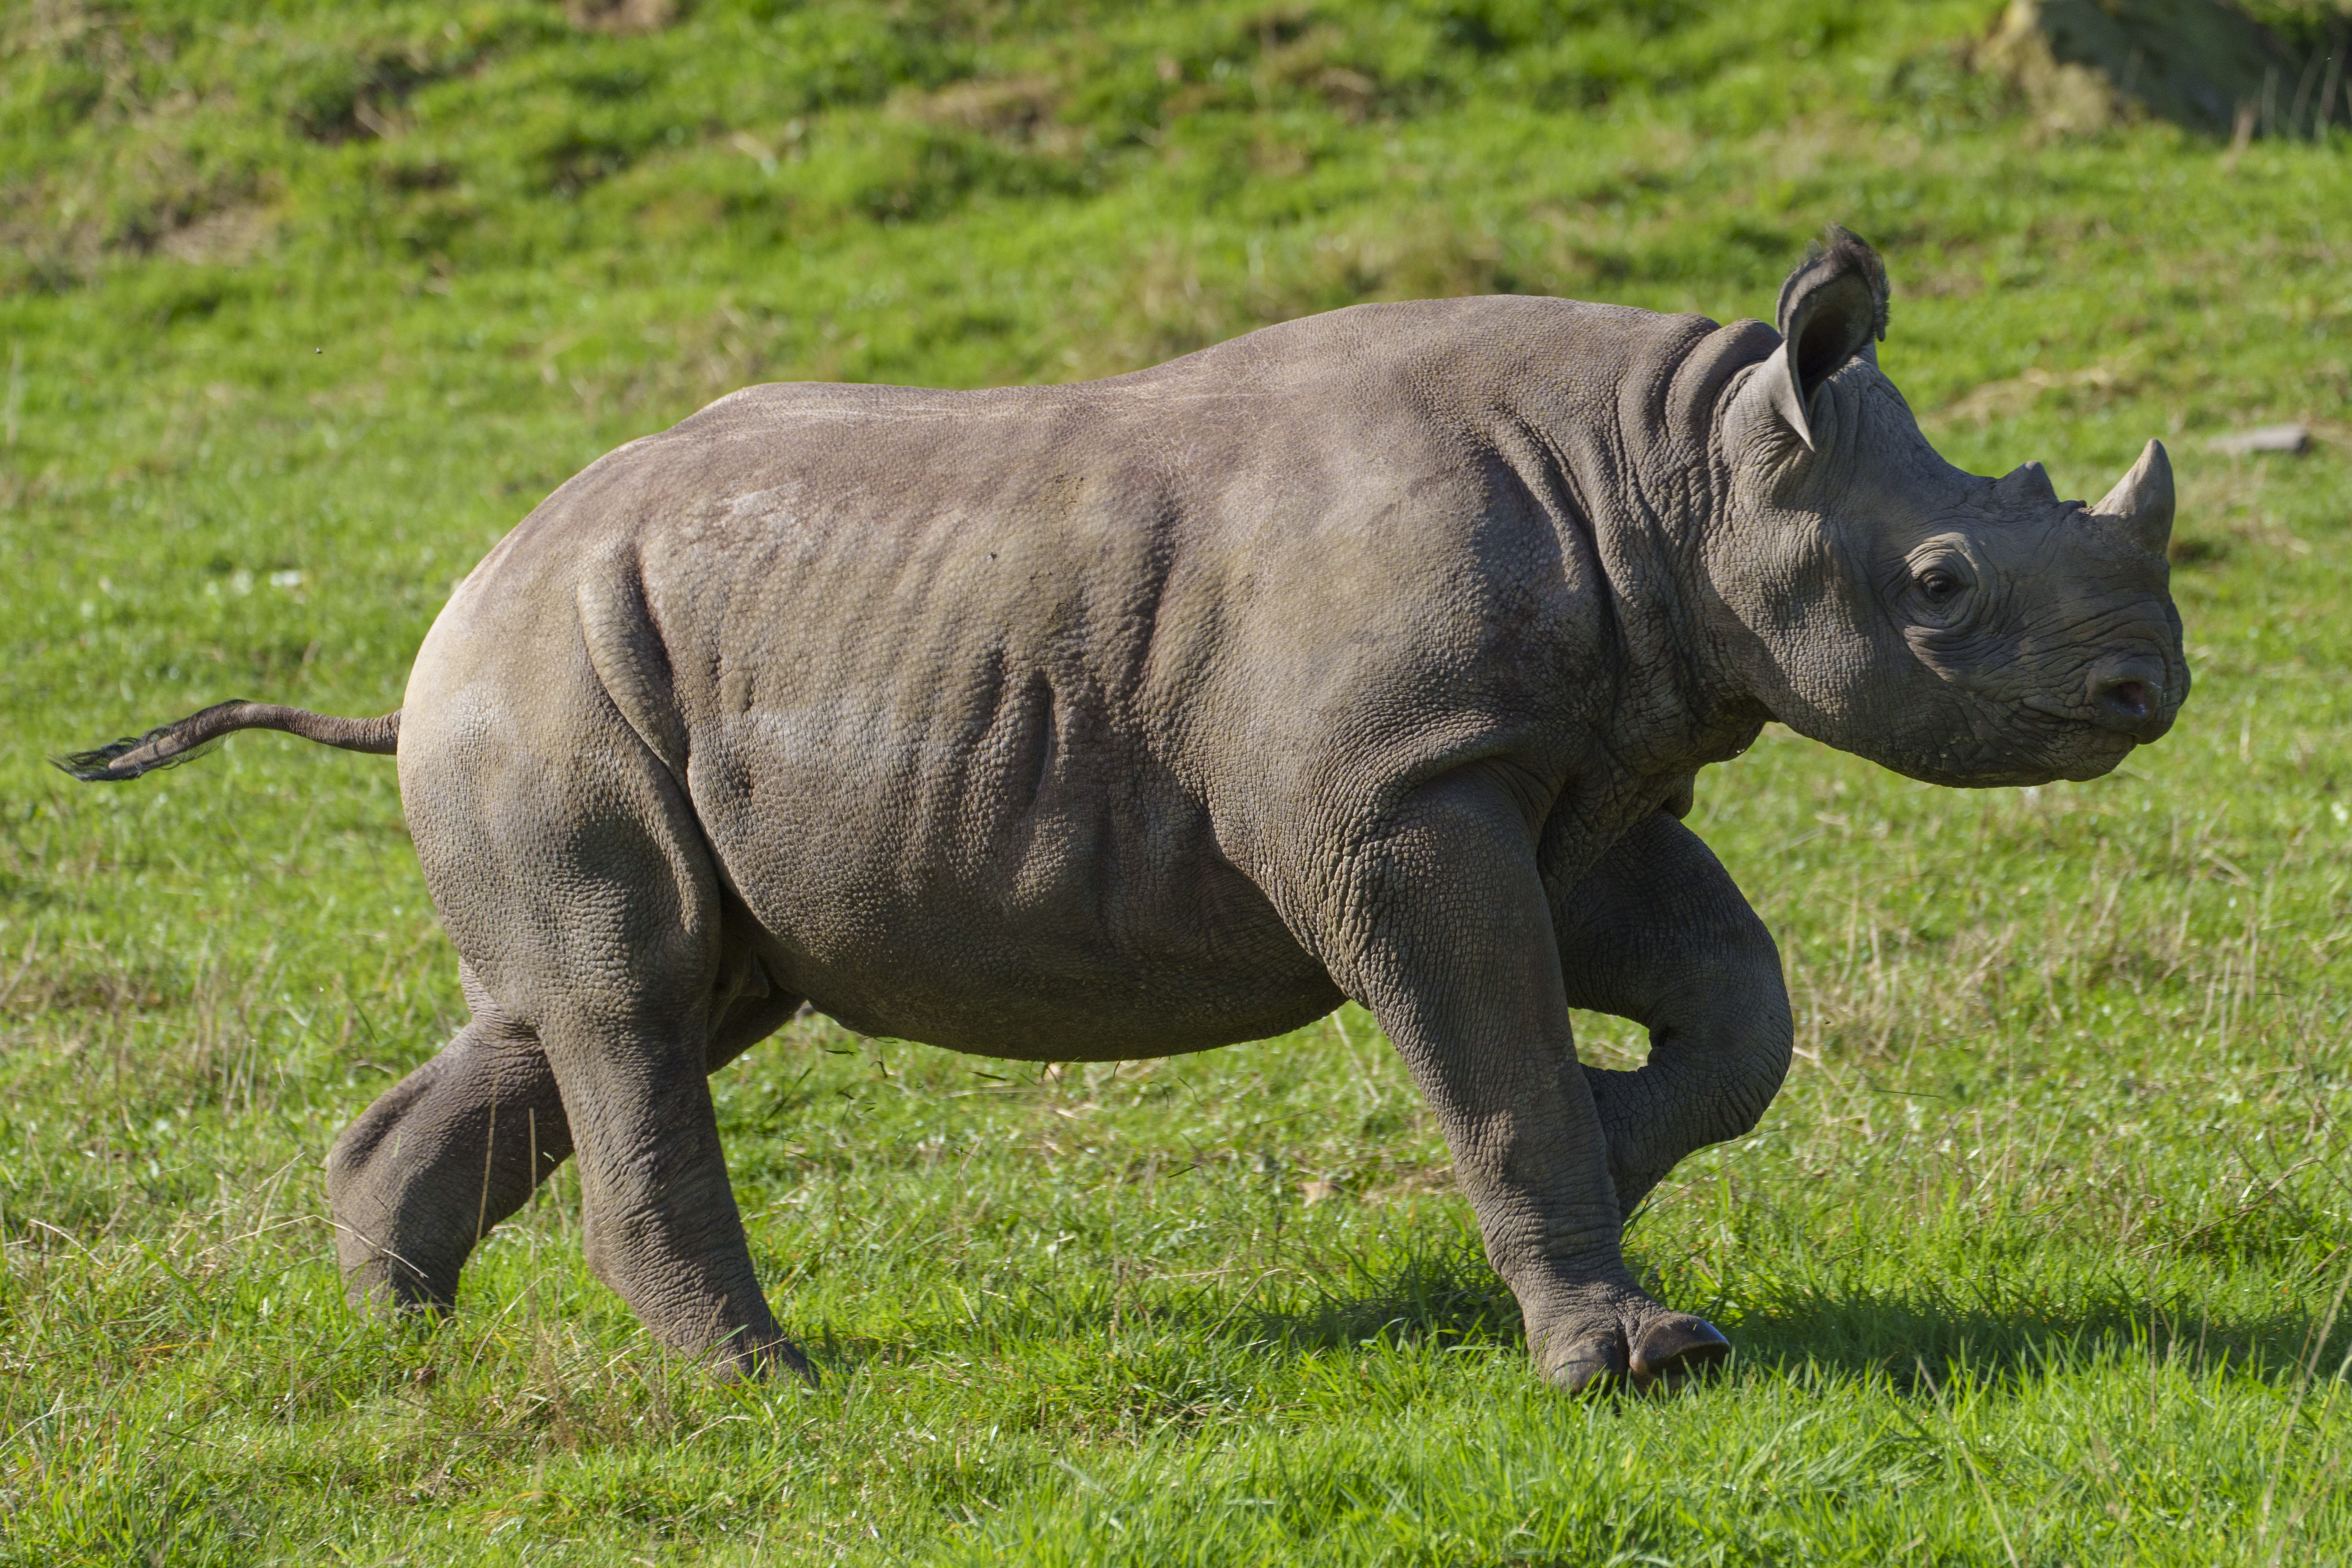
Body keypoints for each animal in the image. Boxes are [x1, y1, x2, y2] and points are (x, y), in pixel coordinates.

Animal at [63, 228, 2185, 1392]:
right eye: (1935, 585)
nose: (2143, 694)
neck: (1669, 467)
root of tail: (459, 592)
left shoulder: (1566, 758)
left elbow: (1733, 1007)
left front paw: (1601, 1160)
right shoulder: (1398, 788)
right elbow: (1495, 1052)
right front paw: (1633, 1352)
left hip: (604, 675)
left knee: (625, 999)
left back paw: (400, 1330)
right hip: (551, 676)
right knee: (631, 1005)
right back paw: (770, 1387)